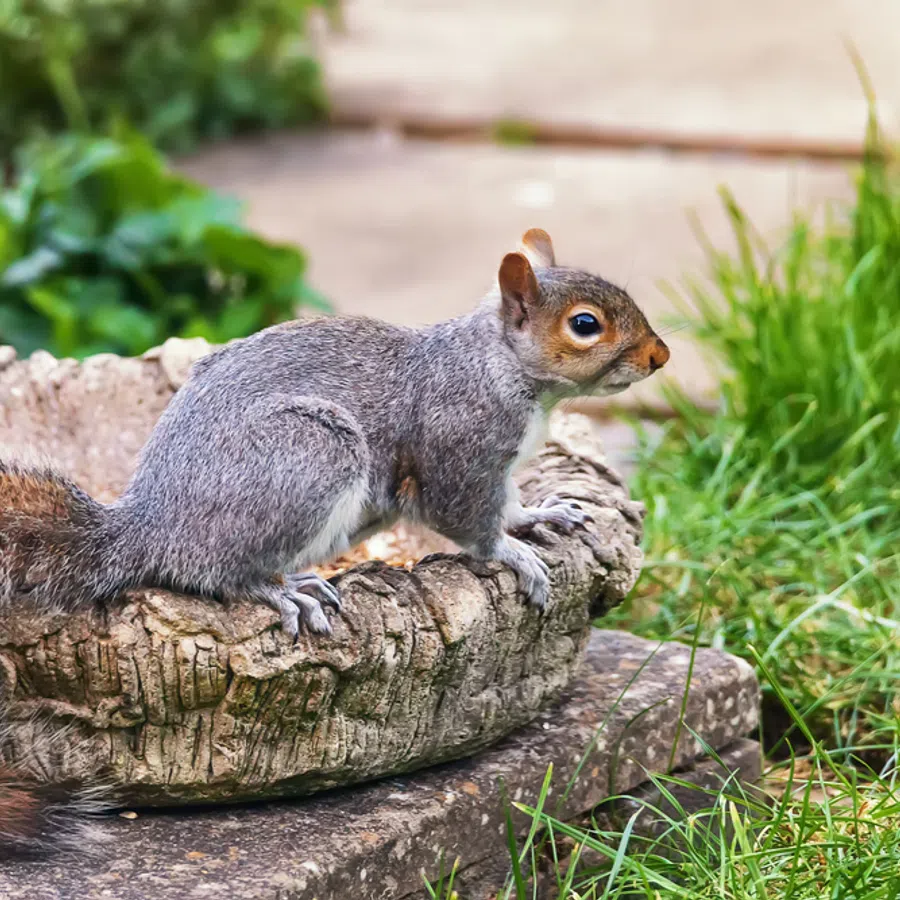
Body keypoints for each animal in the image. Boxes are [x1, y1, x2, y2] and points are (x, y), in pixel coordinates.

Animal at [0, 229, 668, 854]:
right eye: (585, 324)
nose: (660, 355)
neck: (497, 365)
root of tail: (152, 527)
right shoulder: (458, 447)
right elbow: (467, 518)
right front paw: (513, 553)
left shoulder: (495, 472)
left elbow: (510, 505)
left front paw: (541, 515)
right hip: (309, 455)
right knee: (217, 573)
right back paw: (281, 591)